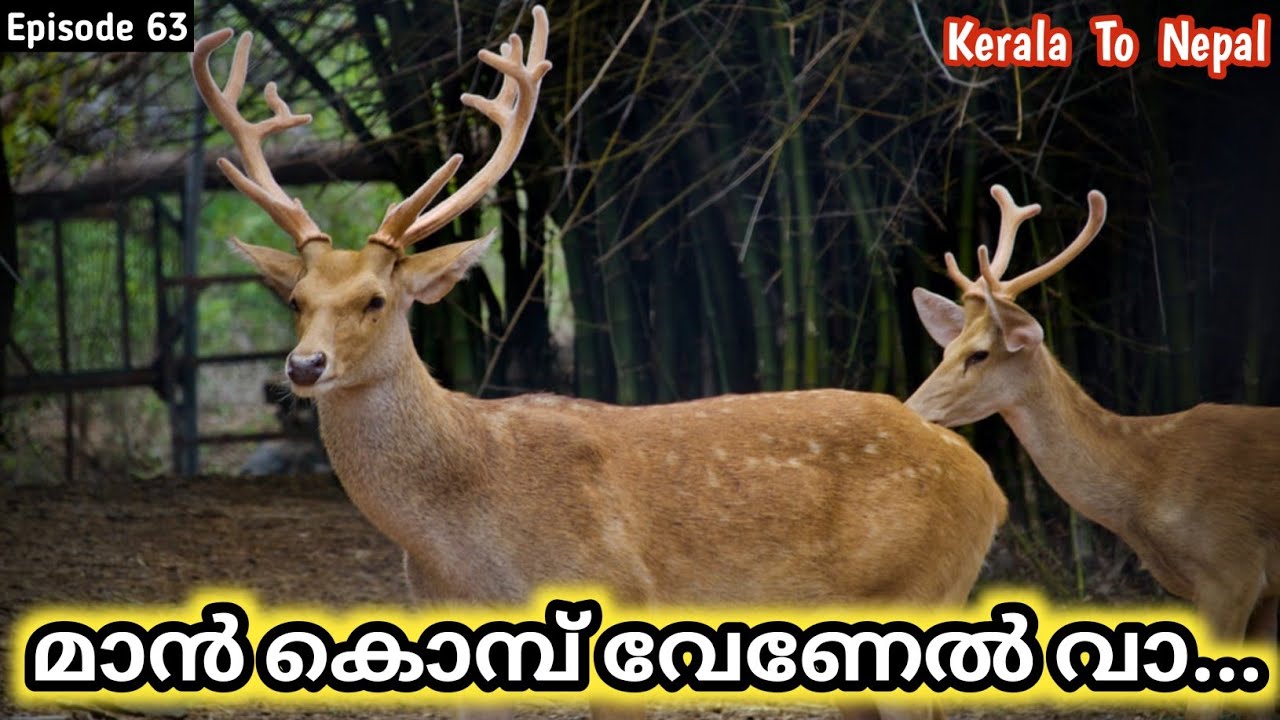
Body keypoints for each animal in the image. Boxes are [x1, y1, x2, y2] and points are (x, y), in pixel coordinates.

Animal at [191, 8, 1007, 719]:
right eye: (296, 297)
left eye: (374, 299)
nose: (303, 366)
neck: (462, 535)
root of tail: (987, 481)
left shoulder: (622, 593)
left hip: (918, 587)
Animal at [907, 184, 1280, 720]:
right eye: (945, 350)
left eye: (979, 354)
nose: (910, 410)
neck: (1152, 484)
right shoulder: (1260, 587)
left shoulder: (1233, 569)